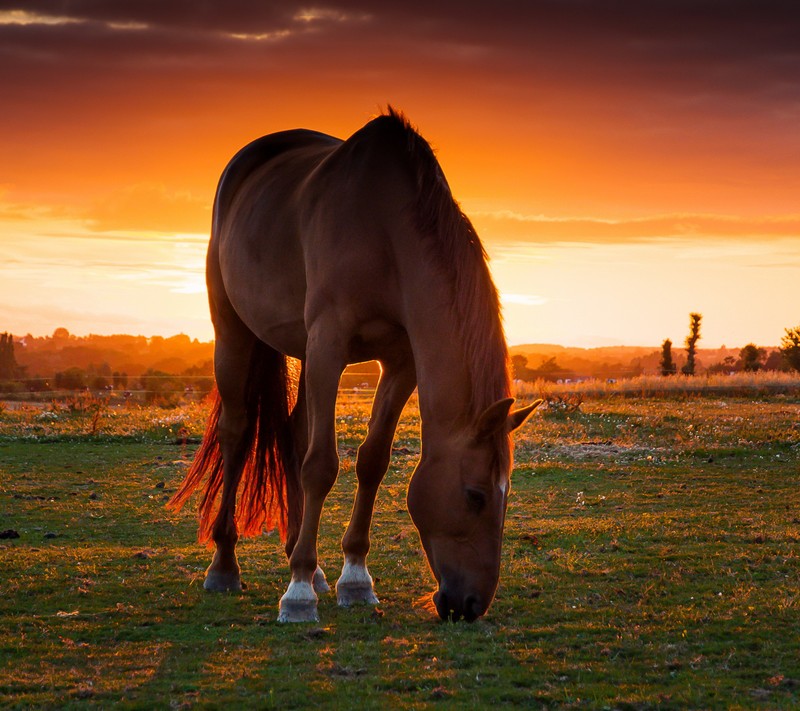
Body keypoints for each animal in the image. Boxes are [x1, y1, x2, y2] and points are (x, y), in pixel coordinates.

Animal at [170, 107, 544, 624]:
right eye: (476, 496)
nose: (471, 605)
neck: (385, 231)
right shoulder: (330, 342)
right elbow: (322, 465)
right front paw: (298, 594)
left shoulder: (400, 362)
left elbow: (372, 460)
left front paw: (354, 578)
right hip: (235, 333)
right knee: (237, 432)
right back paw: (226, 567)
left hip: (304, 351)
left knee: (293, 433)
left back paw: (306, 562)